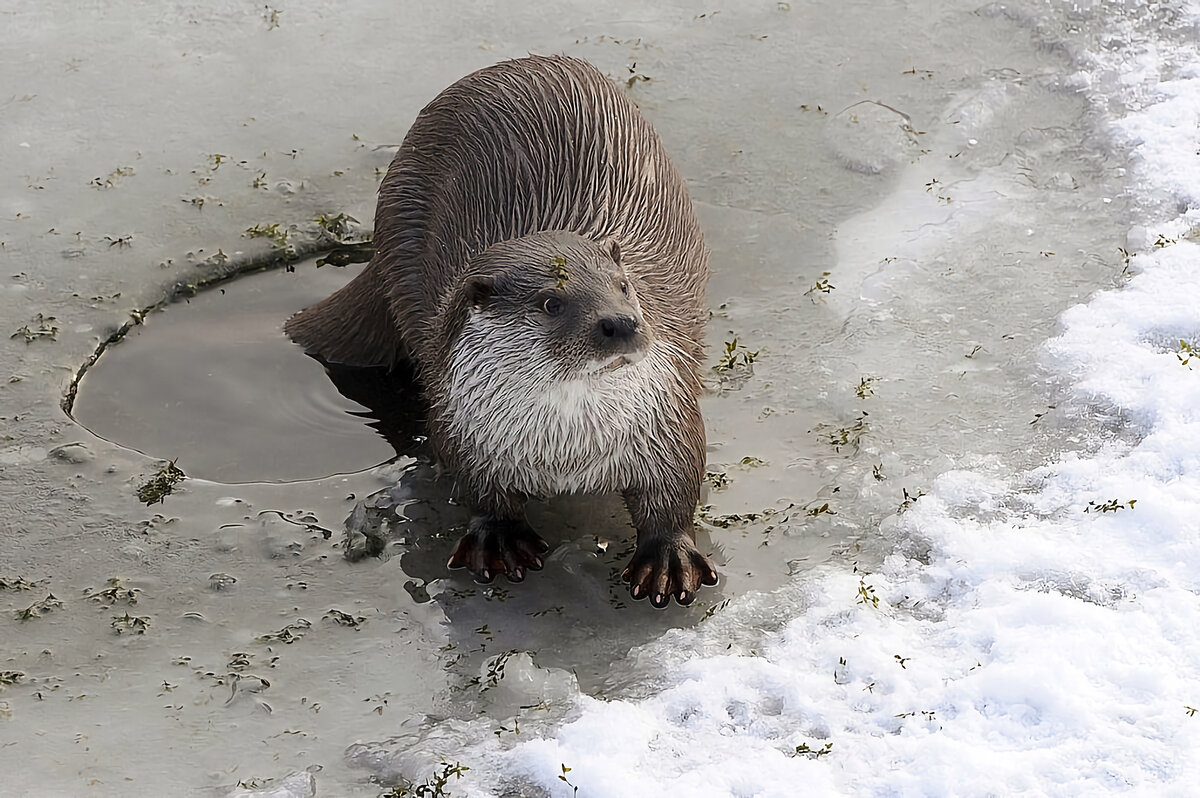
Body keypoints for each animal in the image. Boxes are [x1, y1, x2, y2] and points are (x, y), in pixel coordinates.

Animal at [285, 54, 715, 604]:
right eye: (552, 302)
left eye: (624, 285)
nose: (622, 323)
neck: (565, 451)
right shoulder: (458, 423)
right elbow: (479, 489)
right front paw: (499, 538)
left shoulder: (667, 417)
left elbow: (676, 489)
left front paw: (666, 558)